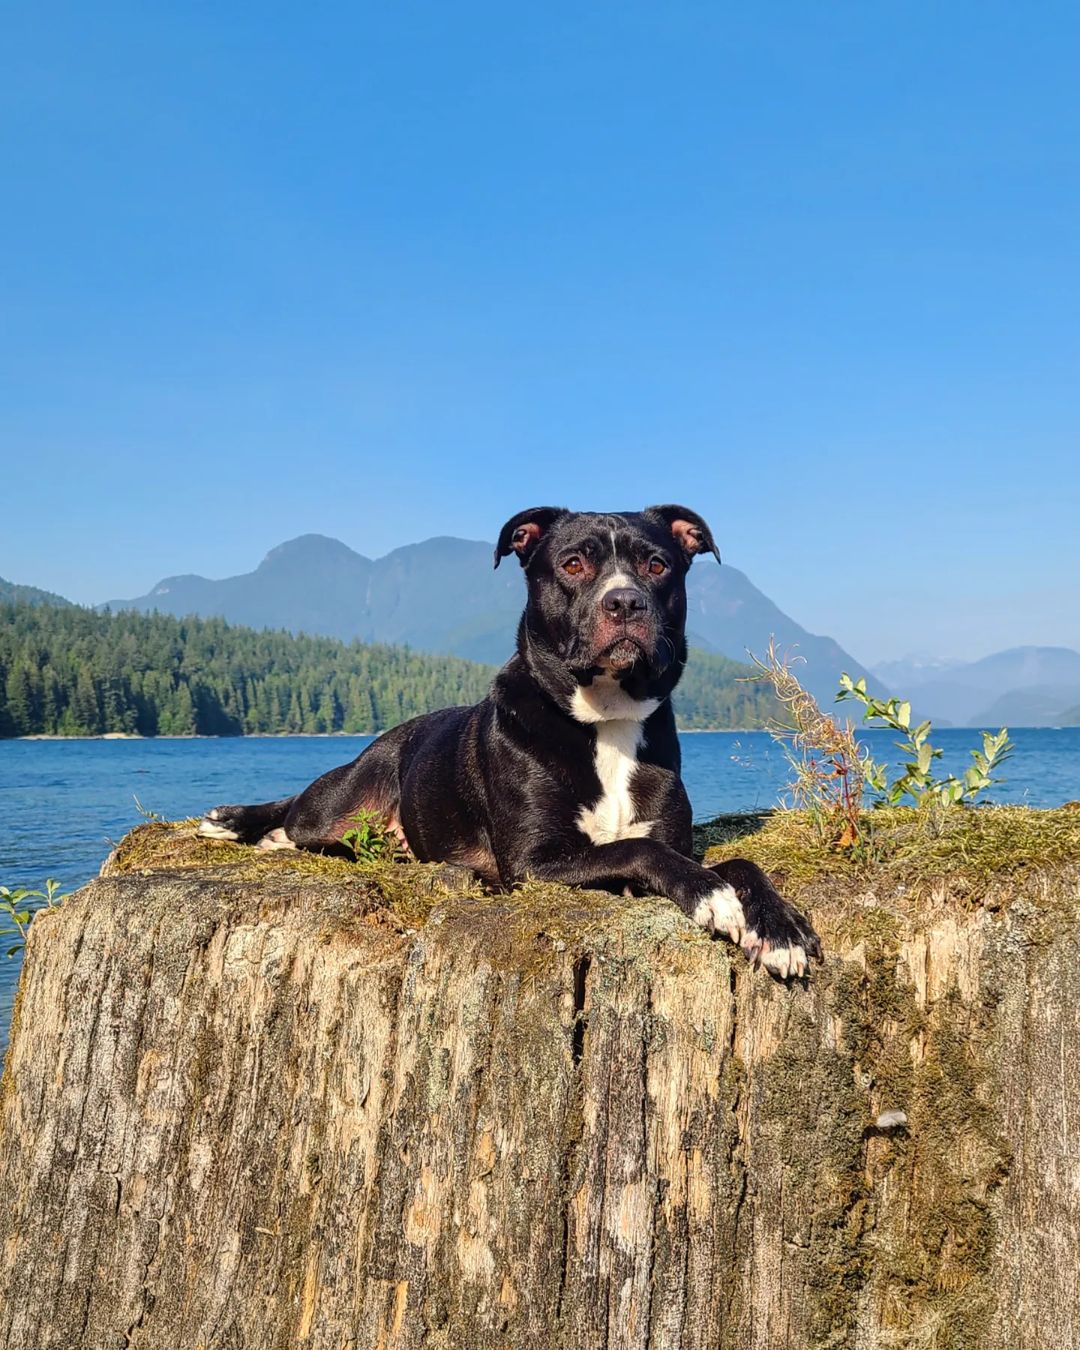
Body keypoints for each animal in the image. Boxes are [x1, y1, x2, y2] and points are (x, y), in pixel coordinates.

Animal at [198, 507, 820, 982]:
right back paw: (243, 824)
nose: (625, 602)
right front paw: (711, 895)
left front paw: (779, 927)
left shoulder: (672, 836)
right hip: (344, 797)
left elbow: (736, 860)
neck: (606, 721)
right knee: (301, 812)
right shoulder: (534, 864)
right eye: (573, 564)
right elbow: (636, 851)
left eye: (657, 564)